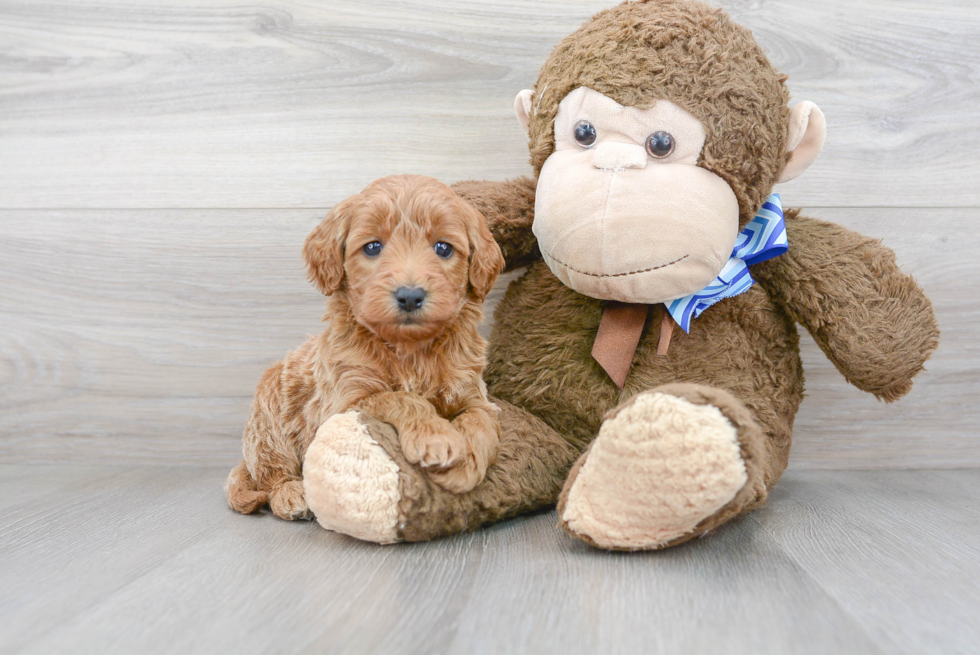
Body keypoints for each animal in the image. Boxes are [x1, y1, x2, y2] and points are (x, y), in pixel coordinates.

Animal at [227, 176, 506, 524]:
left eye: (443, 248)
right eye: (373, 247)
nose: (410, 296)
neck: (409, 350)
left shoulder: (475, 395)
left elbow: (480, 423)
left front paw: (464, 464)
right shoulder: (345, 402)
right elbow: (399, 397)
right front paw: (436, 437)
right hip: (267, 423)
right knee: (271, 474)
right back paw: (292, 495)